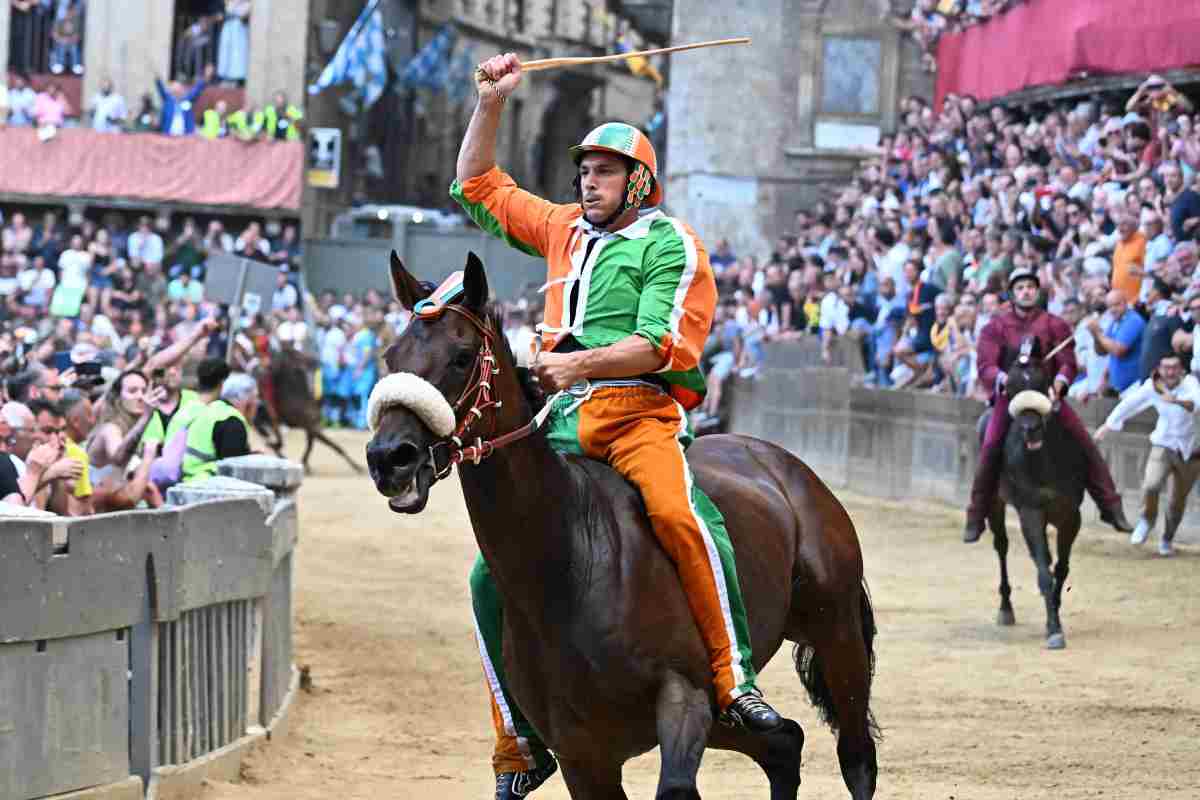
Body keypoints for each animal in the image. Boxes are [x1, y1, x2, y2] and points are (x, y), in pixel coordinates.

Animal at [364, 255, 883, 800]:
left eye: (462, 356)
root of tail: (783, 466)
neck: (571, 560)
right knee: (785, 744)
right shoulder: (584, 757)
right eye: (390, 354)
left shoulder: (685, 700)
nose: (390, 457)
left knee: (856, 758)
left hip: (836, 632)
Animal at [979, 338, 1094, 652]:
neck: (1043, 460)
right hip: (995, 503)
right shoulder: (1030, 511)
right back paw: (1005, 608)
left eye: (1043, 381)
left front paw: (1054, 611)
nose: (1030, 428)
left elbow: (1061, 568)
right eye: (1011, 385)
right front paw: (1053, 627)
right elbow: (1044, 571)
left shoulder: (1071, 513)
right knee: (1002, 546)